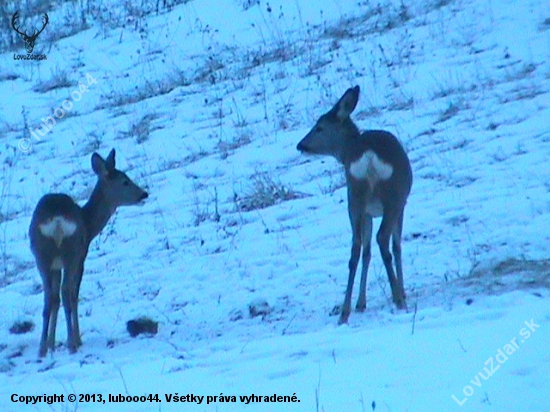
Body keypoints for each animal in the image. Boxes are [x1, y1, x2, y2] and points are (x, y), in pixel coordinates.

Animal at [29, 150, 149, 356]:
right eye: (125, 181)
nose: (144, 194)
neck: (88, 221)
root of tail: (57, 221)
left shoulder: (55, 265)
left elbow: (54, 301)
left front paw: (51, 343)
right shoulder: (82, 256)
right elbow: (74, 295)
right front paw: (76, 339)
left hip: (41, 255)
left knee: (49, 298)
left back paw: (42, 349)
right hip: (71, 252)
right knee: (67, 293)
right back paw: (72, 344)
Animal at [298, 86, 414, 326]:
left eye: (319, 127)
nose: (300, 145)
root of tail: (368, 157)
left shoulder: (368, 212)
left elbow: (366, 252)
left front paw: (361, 303)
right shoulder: (401, 205)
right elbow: (397, 246)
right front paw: (402, 291)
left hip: (354, 198)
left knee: (356, 248)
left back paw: (344, 312)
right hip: (392, 197)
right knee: (383, 240)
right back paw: (399, 300)